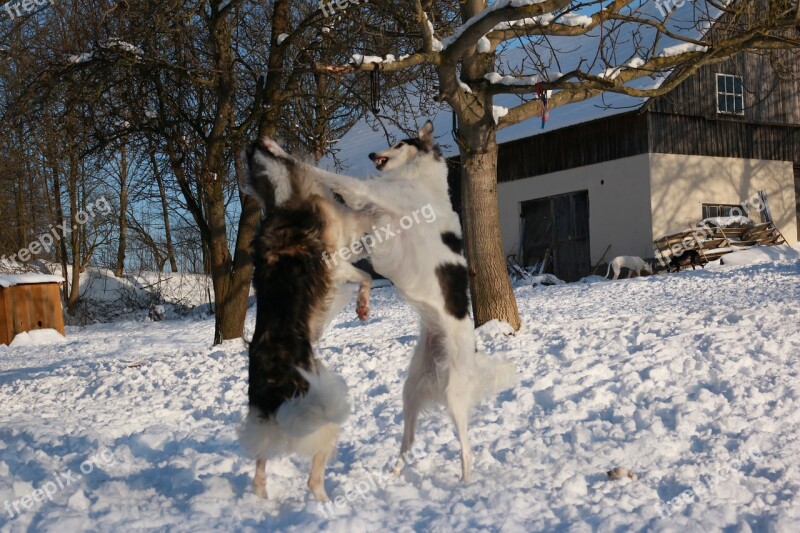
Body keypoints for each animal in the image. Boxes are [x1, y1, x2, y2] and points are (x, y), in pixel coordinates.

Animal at [239, 137, 374, 498]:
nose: (255, 139)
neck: (283, 200)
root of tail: (276, 400)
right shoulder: (337, 260)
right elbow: (365, 275)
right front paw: (362, 306)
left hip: (265, 430)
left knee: (259, 467)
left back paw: (261, 498)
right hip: (325, 426)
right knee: (313, 480)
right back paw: (325, 504)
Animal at [260, 121, 516, 482]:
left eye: (398, 144)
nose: (371, 154)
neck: (419, 177)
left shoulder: (369, 196)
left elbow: (324, 174)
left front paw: (275, 149)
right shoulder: (370, 222)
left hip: (454, 397)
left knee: (466, 451)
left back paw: (466, 484)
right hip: (410, 392)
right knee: (407, 443)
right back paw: (394, 476)